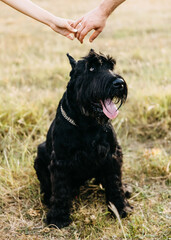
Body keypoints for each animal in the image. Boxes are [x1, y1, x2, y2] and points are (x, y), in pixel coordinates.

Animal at [34, 49, 132, 229]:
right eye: (91, 68)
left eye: (111, 66)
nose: (119, 83)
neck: (88, 123)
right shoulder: (60, 162)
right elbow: (60, 189)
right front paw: (58, 217)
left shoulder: (112, 155)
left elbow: (114, 182)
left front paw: (120, 207)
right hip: (40, 154)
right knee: (46, 185)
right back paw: (47, 197)